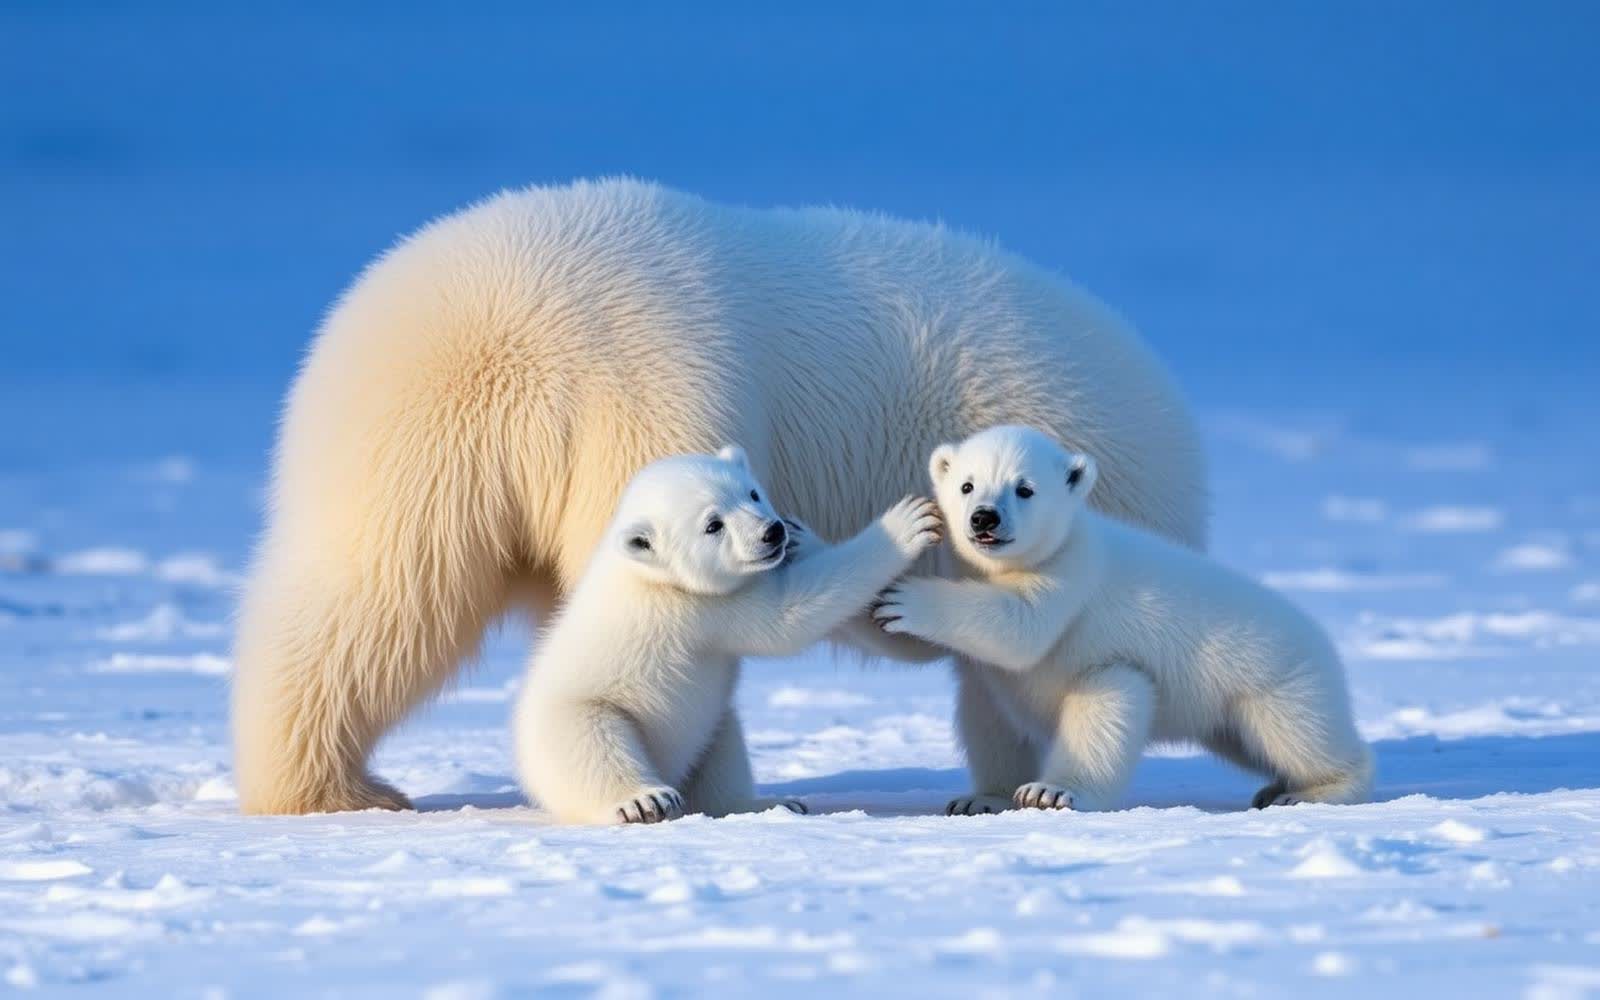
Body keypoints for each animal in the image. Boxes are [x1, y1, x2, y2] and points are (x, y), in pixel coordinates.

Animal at [514, 446, 942, 824]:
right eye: (713, 525)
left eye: (751, 492)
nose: (773, 531)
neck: (652, 575)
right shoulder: (700, 608)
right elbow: (787, 614)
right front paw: (906, 523)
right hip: (582, 715)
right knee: (596, 754)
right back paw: (644, 800)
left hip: (710, 724)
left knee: (722, 753)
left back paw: (768, 803)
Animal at [872, 425, 1373, 815]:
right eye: (967, 486)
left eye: (1024, 488)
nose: (984, 519)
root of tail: (1323, 638)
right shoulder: (992, 670)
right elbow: (993, 719)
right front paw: (981, 798)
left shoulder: (1071, 578)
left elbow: (1023, 629)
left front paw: (1049, 793)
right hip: (1225, 714)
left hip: (1275, 680)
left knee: (1302, 735)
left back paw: (1312, 790)